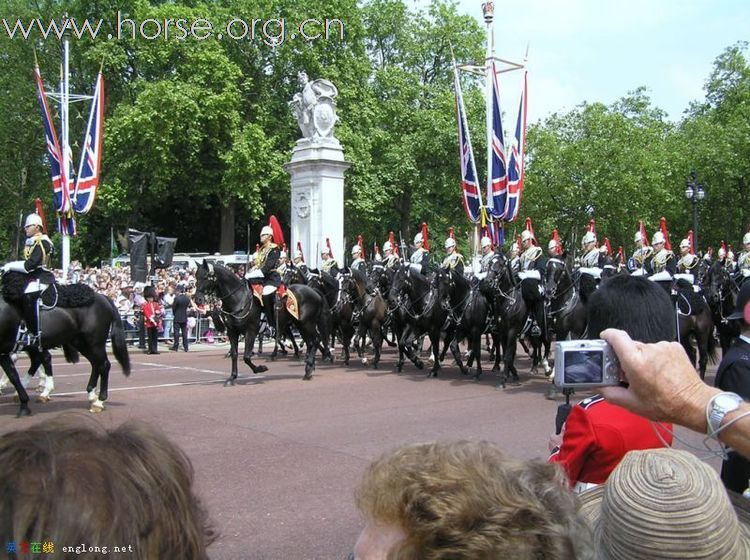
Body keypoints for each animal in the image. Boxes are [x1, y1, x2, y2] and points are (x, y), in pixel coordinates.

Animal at [0, 274, 130, 418]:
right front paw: (23, 403)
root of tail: (103, 297)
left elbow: (14, 374)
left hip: (94, 343)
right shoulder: (4, 352)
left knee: (104, 365)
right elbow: (13, 375)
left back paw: (98, 402)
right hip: (80, 342)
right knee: (95, 364)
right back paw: (90, 394)